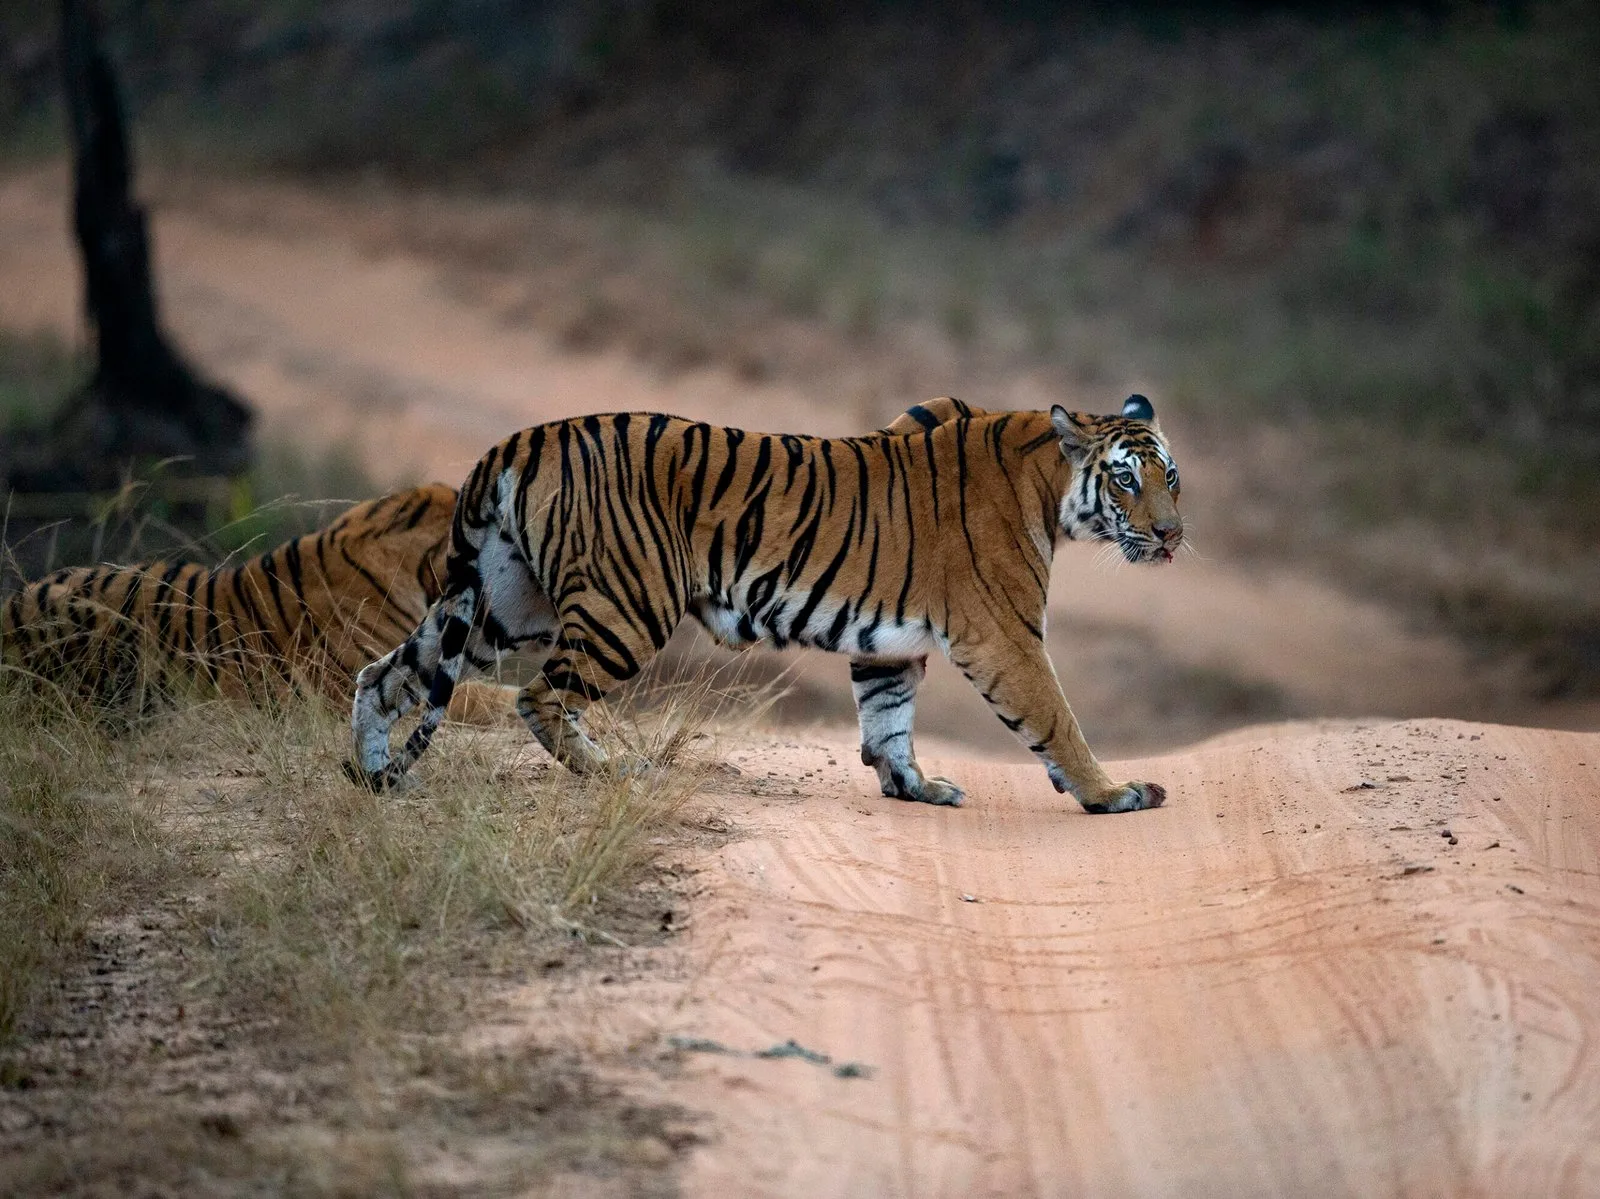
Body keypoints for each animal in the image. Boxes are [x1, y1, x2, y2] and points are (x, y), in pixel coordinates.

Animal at [344, 393, 1183, 814]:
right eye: (1125, 480)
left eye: (1170, 477)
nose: (1172, 535)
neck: (1051, 486)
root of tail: (521, 438)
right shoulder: (1004, 633)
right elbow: (1055, 717)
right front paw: (1112, 792)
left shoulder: (892, 644)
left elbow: (889, 717)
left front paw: (914, 785)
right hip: (625, 605)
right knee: (541, 697)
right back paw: (617, 772)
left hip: (501, 605)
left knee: (382, 675)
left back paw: (374, 775)